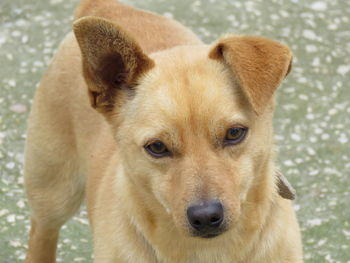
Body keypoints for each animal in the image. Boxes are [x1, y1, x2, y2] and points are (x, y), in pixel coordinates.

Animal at [25, 0, 304, 262]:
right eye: (157, 147)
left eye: (235, 133)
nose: (206, 216)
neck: (209, 251)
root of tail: (107, 6)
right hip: (54, 193)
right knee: (41, 232)